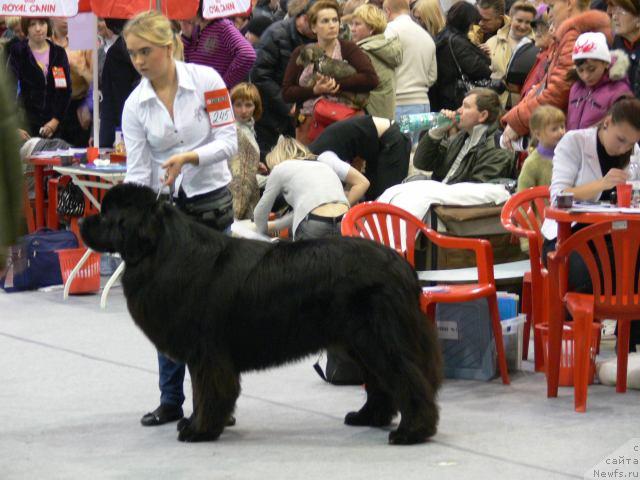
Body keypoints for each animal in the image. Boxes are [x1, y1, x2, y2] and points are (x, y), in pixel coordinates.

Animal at [81, 184, 440, 446]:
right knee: (382, 382)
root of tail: (402, 266)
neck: (162, 252)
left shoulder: (206, 353)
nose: (82, 222)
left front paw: (199, 430)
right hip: (359, 342)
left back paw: (412, 432)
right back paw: (368, 417)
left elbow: (207, 391)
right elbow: (205, 392)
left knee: (407, 379)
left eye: (107, 215)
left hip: (379, 338)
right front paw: (201, 423)